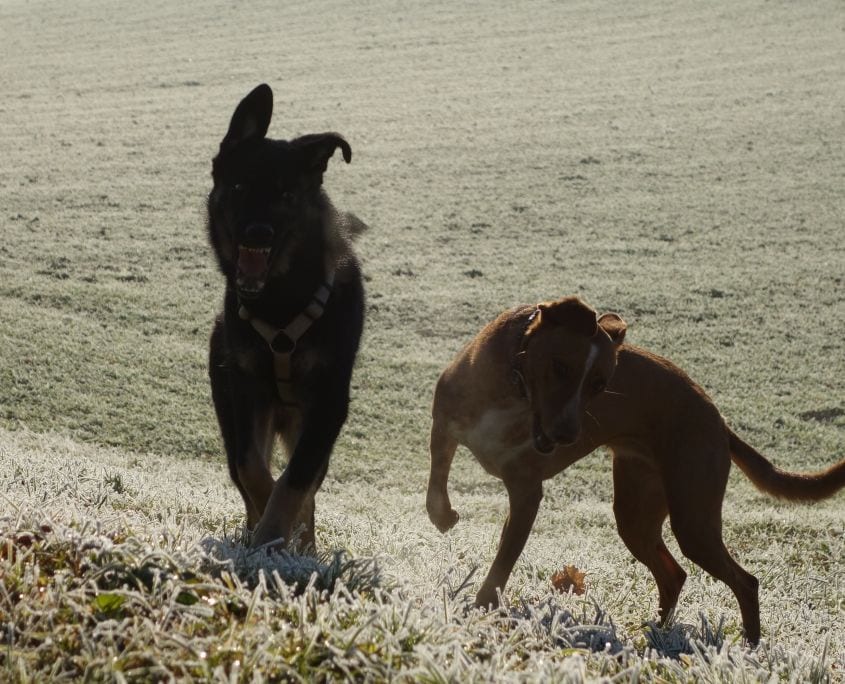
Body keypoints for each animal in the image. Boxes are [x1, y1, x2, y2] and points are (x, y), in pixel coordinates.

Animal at [207, 83, 362, 548]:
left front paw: (276, 537)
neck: (279, 299)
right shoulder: (245, 390)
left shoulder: (328, 403)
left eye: (285, 195)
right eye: (239, 185)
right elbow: (252, 469)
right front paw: (264, 536)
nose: (258, 233)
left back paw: (303, 546)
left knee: (308, 484)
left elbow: (295, 482)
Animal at [428, 296, 844, 644]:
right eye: (560, 367)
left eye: (600, 385)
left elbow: (502, 564)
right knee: (674, 574)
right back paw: (657, 632)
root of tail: (719, 422)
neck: (514, 387)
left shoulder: (527, 492)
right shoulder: (446, 420)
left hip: (693, 516)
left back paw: (750, 646)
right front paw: (444, 515)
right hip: (636, 511)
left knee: (745, 581)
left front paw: (479, 610)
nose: (567, 435)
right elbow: (437, 476)